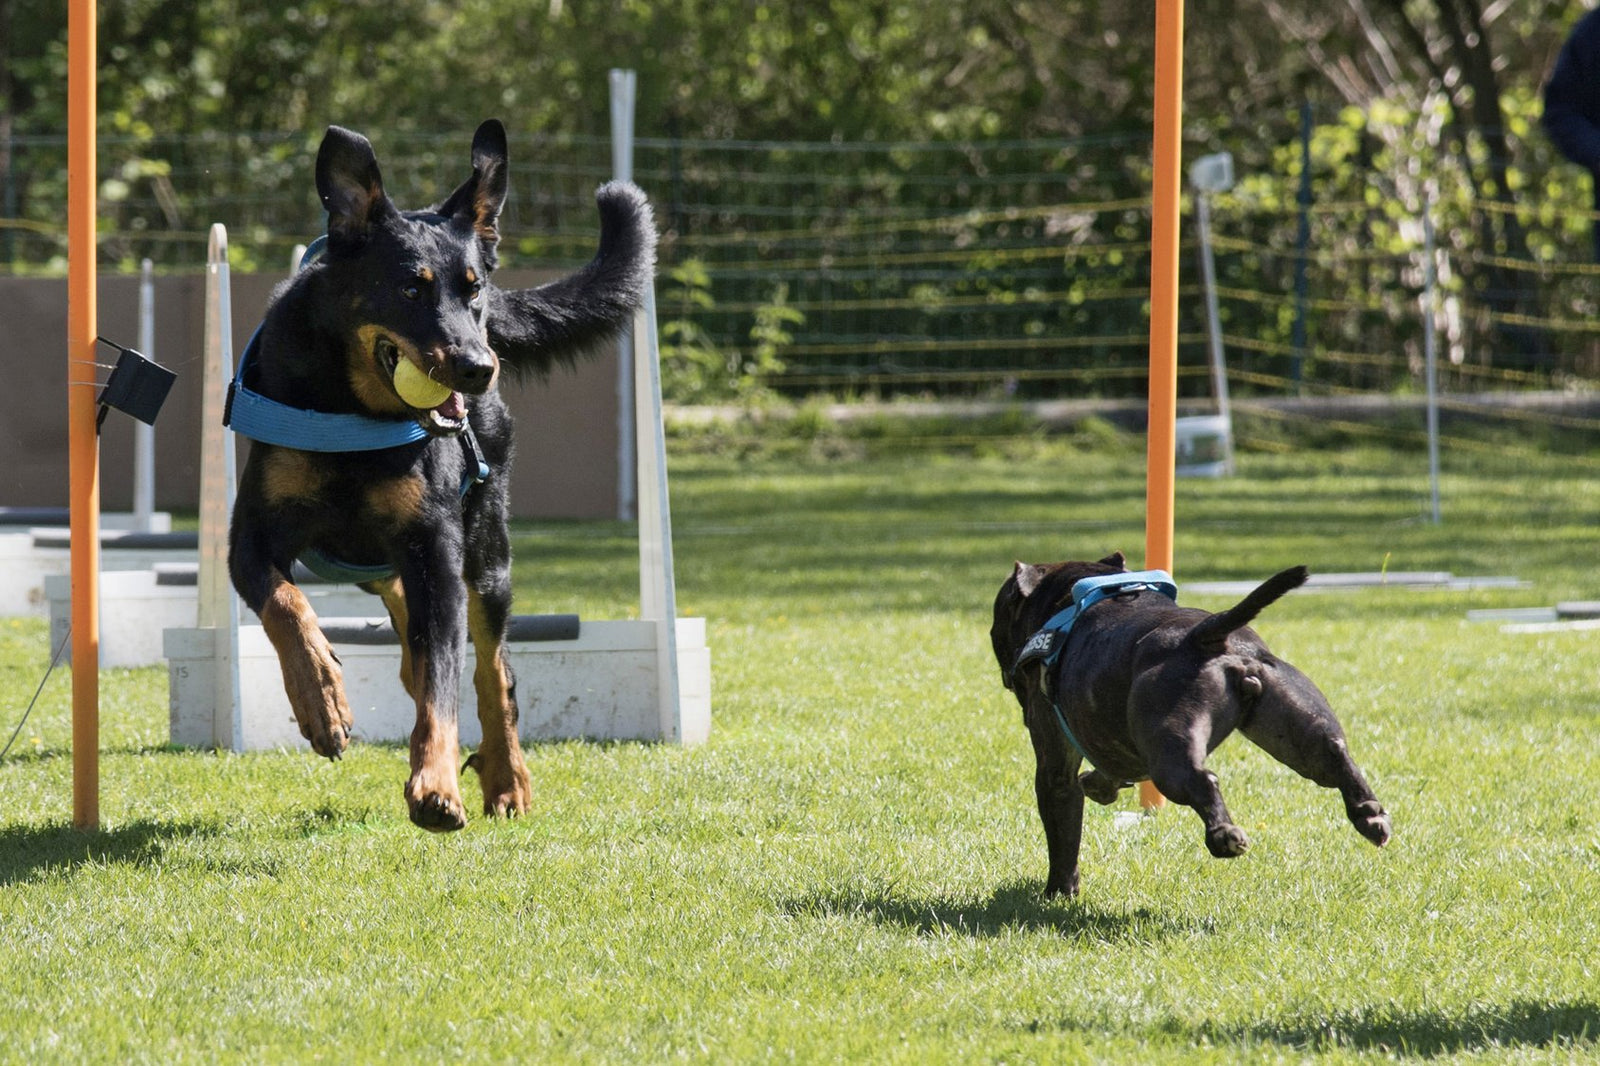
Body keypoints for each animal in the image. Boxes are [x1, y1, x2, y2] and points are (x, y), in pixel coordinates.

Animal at [227, 118, 656, 832]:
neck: (354, 407)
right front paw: (321, 700)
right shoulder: (250, 542)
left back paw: (506, 778)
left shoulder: (435, 550)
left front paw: (436, 784)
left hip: (484, 559)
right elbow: (287, 608)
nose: (479, 367)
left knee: (487, 669)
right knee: (417, 646)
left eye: (472, 287)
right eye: (410, 287)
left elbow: (446, 689)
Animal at [985, 550, 1388, 889]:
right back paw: (1370, 815)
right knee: (1334, 755)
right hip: (1297, 732)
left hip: (1170, 750)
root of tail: (1208, 635)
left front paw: (1058, 891)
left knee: (1202, 779)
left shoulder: (1056, 768)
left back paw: (1224, 836)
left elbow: (1063, 838)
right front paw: (1100, 787)